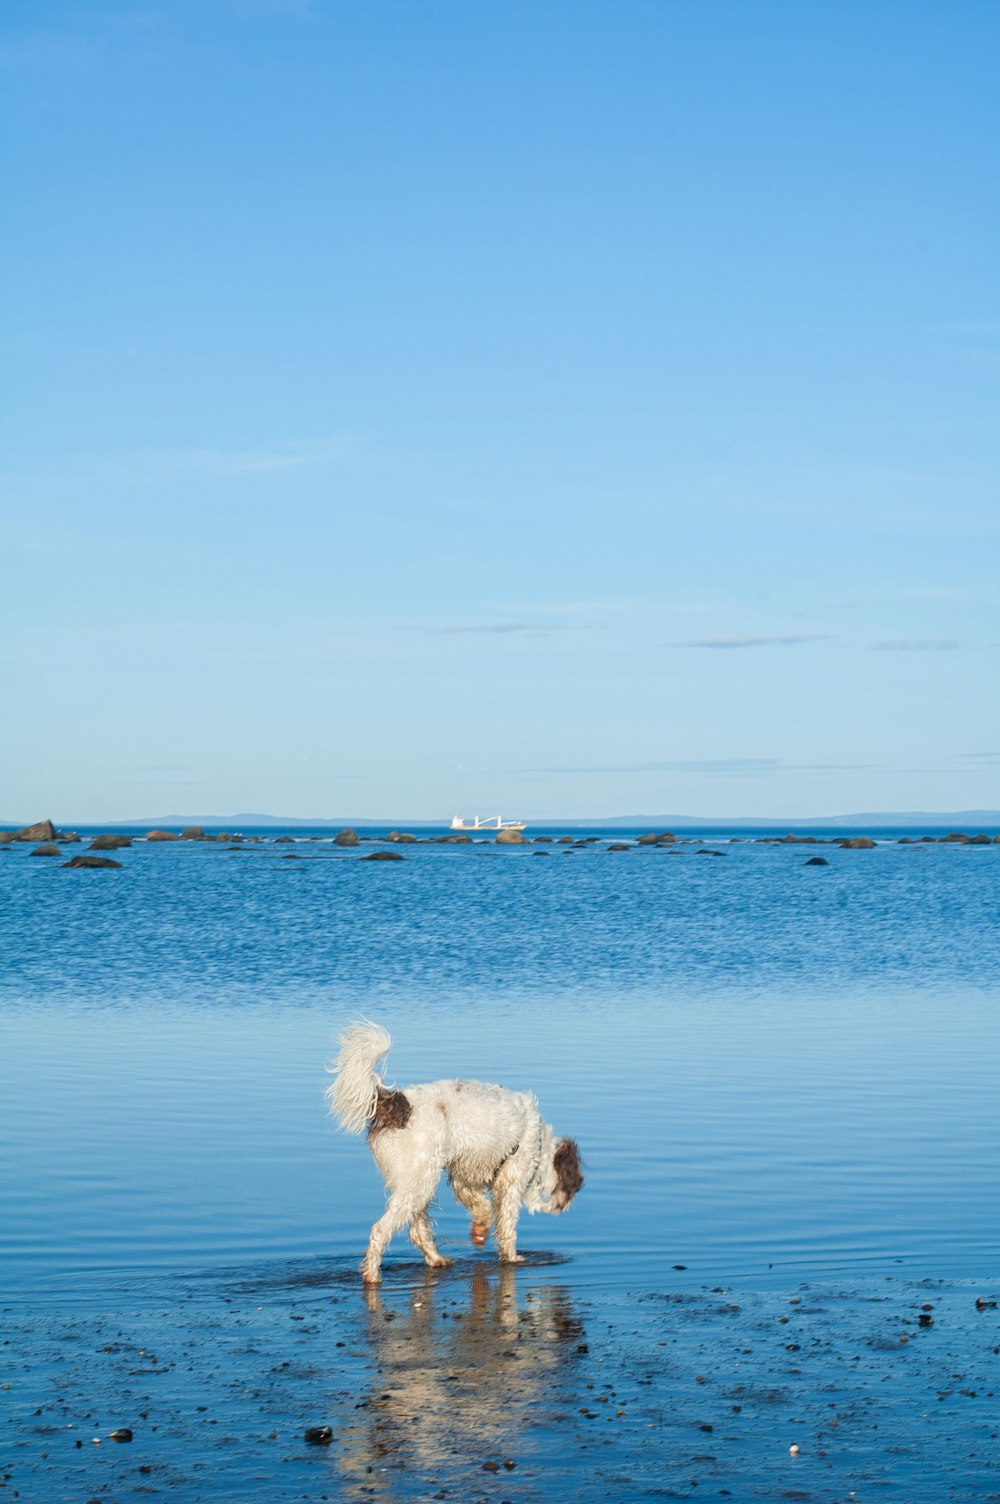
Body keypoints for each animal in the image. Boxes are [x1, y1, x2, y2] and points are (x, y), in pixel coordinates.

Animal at [327, 1022, 580, 1281]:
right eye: (573, 1185)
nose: (565, 1206)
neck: (539, 1143)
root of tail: (395, 1101)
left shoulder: (464, 1176)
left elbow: (480, 1204)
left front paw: (479, 1230)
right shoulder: (510, 1182)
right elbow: (506, 1226)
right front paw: (512, 1257)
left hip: (415, 1182)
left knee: (417, 1229)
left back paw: (437, 1260)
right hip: (420, 1180)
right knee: (380, 1230)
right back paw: (372, 1274)